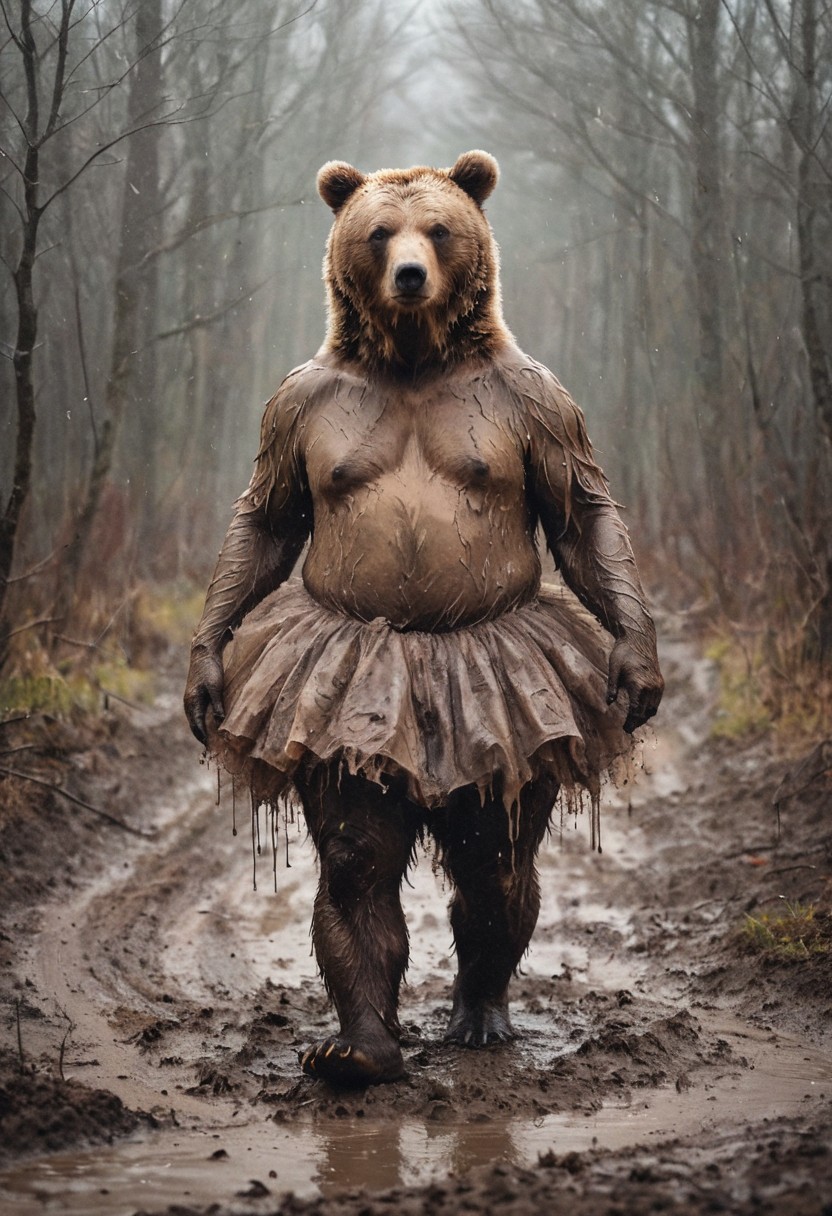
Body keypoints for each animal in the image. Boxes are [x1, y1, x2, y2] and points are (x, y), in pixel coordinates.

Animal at [184, 151, 663, 1087]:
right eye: (379, 233)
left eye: (438, 230)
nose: (410, 275)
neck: (412, 363)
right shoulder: (298, 407)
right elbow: (267, 516)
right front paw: (357, 1043)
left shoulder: (534, 400)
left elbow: (580, 508)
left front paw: (637, 663)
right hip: (344, 692)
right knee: (364, 858)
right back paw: (362, 1043)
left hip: (513, 713)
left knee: (492, 864)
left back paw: (481, 1012)